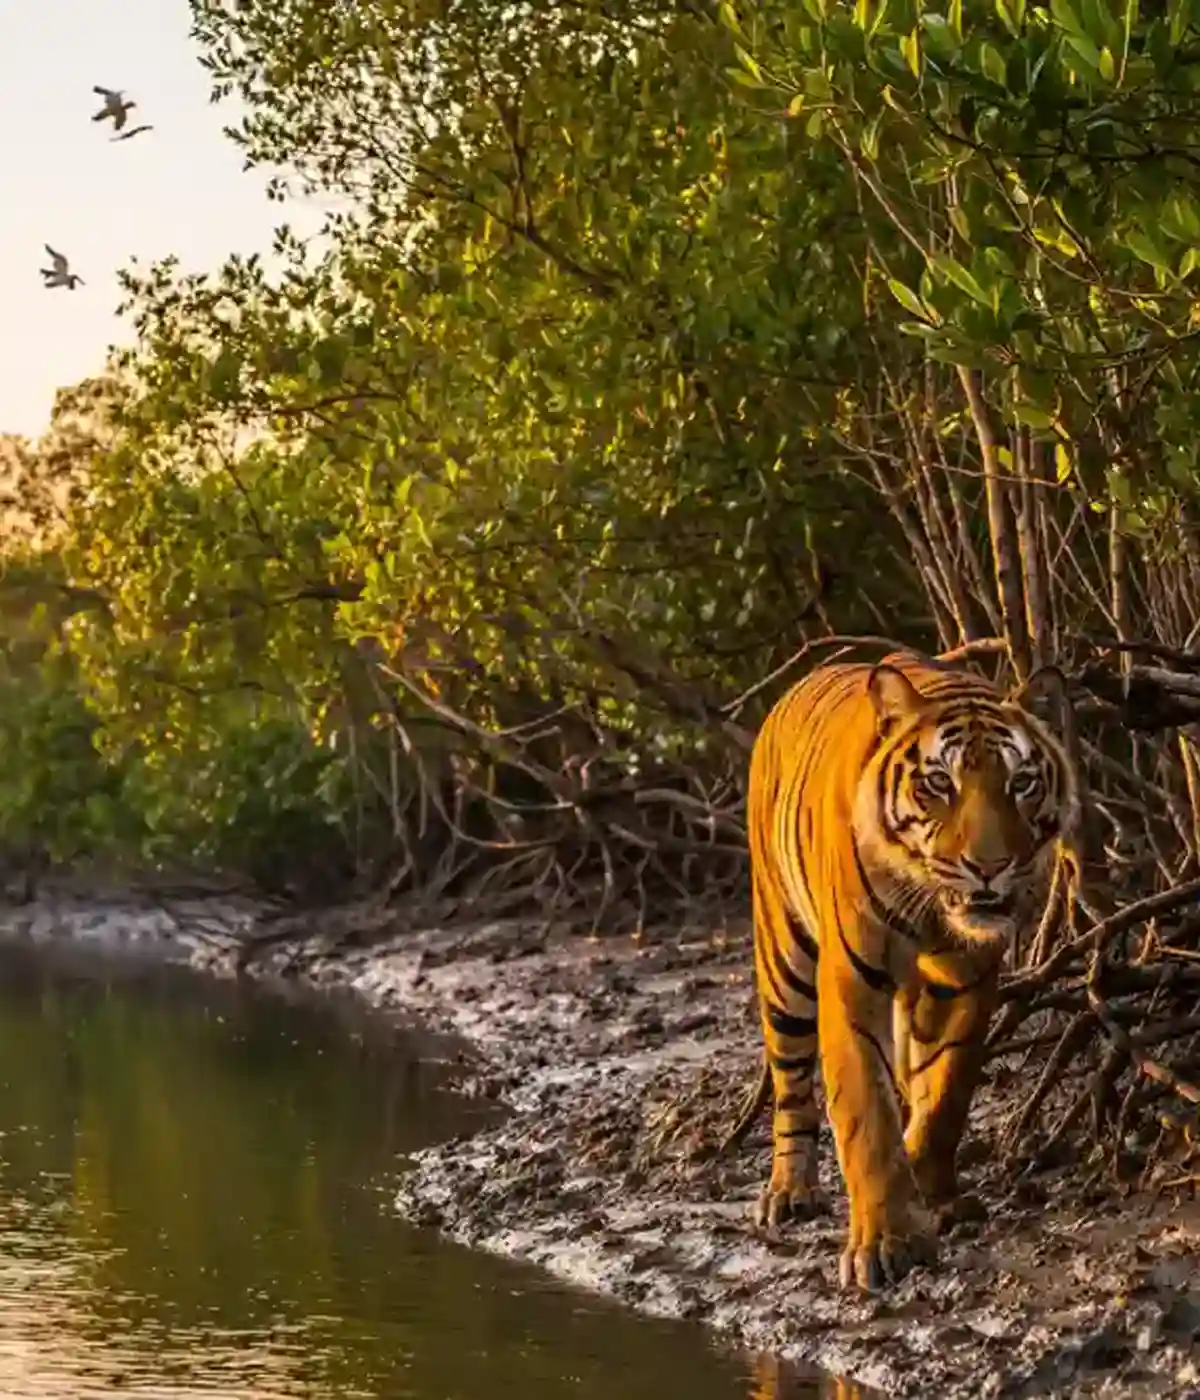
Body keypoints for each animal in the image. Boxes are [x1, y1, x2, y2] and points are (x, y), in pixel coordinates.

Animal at [729, 648, 1079, 1293]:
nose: (989, 866)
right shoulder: (850, 985)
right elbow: (867, 1117)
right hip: (784, 960)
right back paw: (789, 1192)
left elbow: (944, 1096)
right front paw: (886, 1241)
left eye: (1020, 782)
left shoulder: (965, 978)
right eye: (940, 782)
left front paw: (934, 1194)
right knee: (791, 1086)